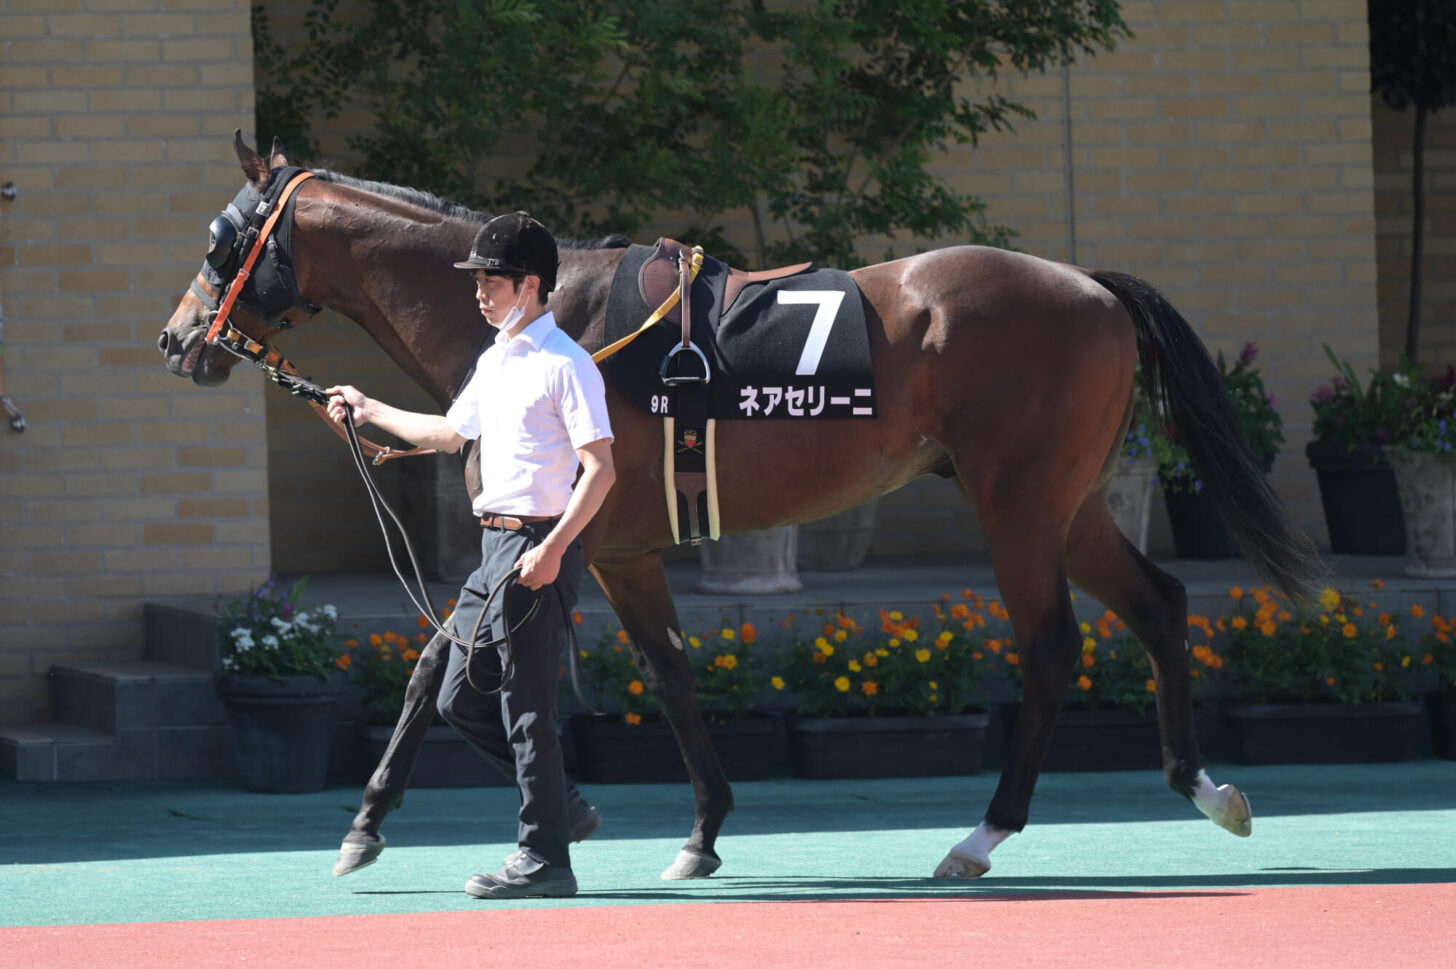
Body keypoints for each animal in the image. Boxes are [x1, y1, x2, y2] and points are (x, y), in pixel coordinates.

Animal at [159, 132, 1322, 878]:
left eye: (224, 238)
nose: (179, 340)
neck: (546, 318)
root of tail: (1090, 288)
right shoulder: (620, 551)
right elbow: (668, 675)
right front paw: (698, 830)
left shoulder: (559, 542)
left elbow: (439, 666)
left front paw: (369, 824)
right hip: (1069, 503)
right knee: (1161, 603)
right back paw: (1204, 786)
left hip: (1021, 506)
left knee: (1051, 648)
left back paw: (983, 835)